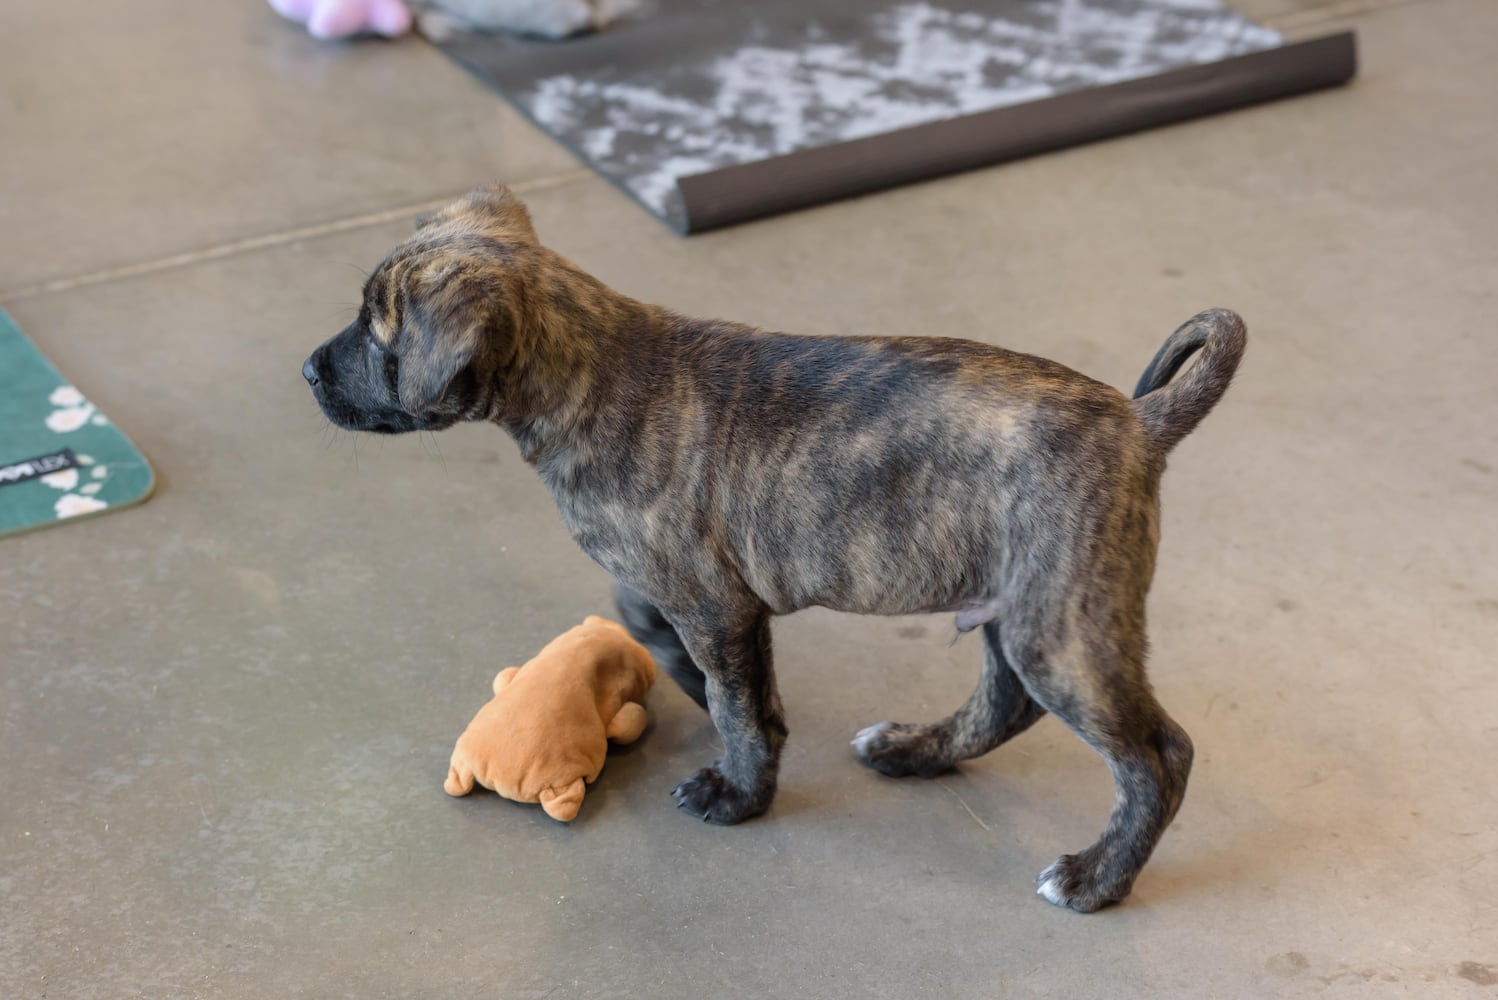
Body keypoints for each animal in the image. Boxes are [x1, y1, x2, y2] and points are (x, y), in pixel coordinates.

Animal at [301, 187, 1240, 916]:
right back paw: (912, 750)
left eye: (378, 336)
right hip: (1017, 610)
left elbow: (737, 704)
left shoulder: (716, 602)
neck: (588, 369)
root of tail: (1139, 420)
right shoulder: (688, 593)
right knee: (1005, 705)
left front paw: (738, 791)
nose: (308, 373)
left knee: (1158, 755)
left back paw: (1095, 880)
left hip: (1061, 628)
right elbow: (663, 635)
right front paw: (693, 689)